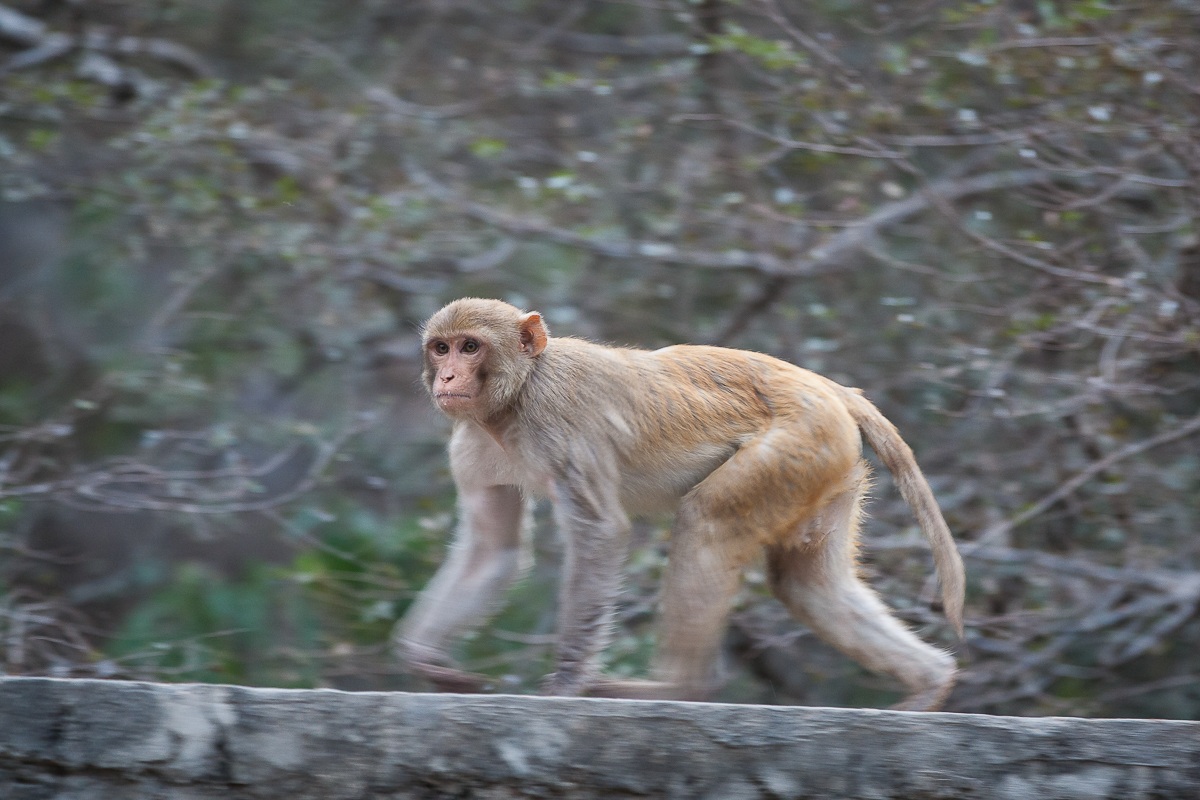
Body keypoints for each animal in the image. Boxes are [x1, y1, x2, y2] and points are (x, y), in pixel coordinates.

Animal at [394, 297, 965, 711]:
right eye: (441, 348)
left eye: (470, 347)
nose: (447, 377)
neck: (515, 398)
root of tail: (825, 386)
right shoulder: (471, 445)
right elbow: (494, 550)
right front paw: (422, 658)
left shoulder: (557, 418)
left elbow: (601, 534)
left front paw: (566, 684)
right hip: (829, 464)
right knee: (806, 583)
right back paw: (930, 682)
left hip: (798, 445)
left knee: (707, 522)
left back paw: (681, 690)